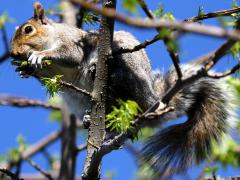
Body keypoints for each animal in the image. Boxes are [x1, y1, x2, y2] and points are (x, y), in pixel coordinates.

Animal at [9, 1, 236, 176]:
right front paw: (25, 69)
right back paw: (90, 119)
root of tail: (151, 101)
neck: (51, 35)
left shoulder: (72, 42)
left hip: (128, 65)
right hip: (81, 100)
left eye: (28, 29)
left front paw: (39, 56)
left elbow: (68, 54)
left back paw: (104, 72)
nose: (13, 53)